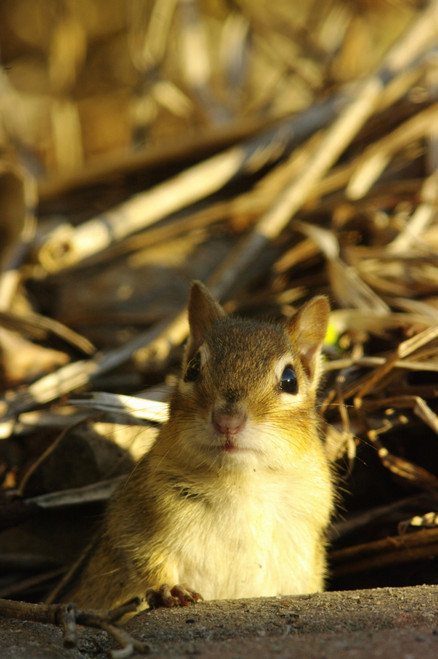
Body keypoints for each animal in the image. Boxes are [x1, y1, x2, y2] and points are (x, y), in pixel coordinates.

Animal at [54, 281, 334, 610]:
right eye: (192, 368)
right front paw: (169, 589)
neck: (241, 482)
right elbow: (143, 558)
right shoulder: (137, 518)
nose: (227, 420)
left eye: (290, 380)